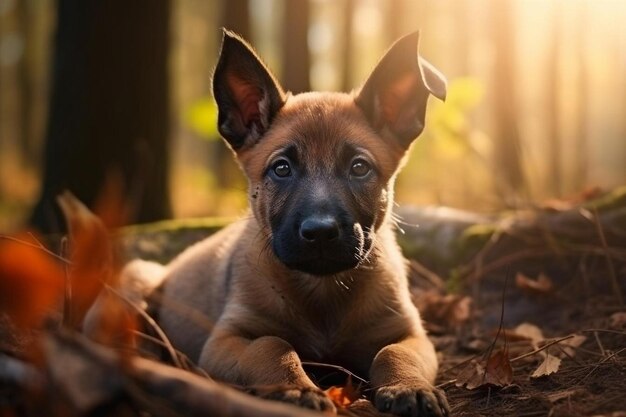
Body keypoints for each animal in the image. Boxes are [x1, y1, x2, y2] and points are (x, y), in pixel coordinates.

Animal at [128, 30, 448, 416]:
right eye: (281, 168)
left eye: (359, 167)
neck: (323, 290)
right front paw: (295, 387)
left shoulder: (410, 333)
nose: (320, 232)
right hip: (137, 278)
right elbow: (270, 345)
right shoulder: (226, 339)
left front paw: (409, 386)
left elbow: (394, 352)